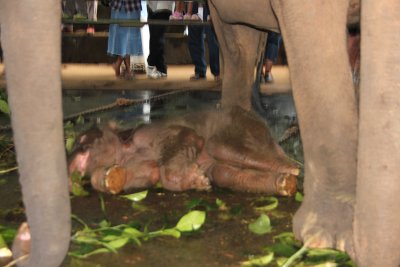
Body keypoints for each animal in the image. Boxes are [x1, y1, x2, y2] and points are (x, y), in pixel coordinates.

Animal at [69, 106, 300, 197]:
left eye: (82, 139)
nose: (71, 151)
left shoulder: (157, 132)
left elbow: (186, 138)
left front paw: (198, 180)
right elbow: (151, 173)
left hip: (238, 131)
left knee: (221, 147)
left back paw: (293, 171)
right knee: (224, 174)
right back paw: (284, 183)